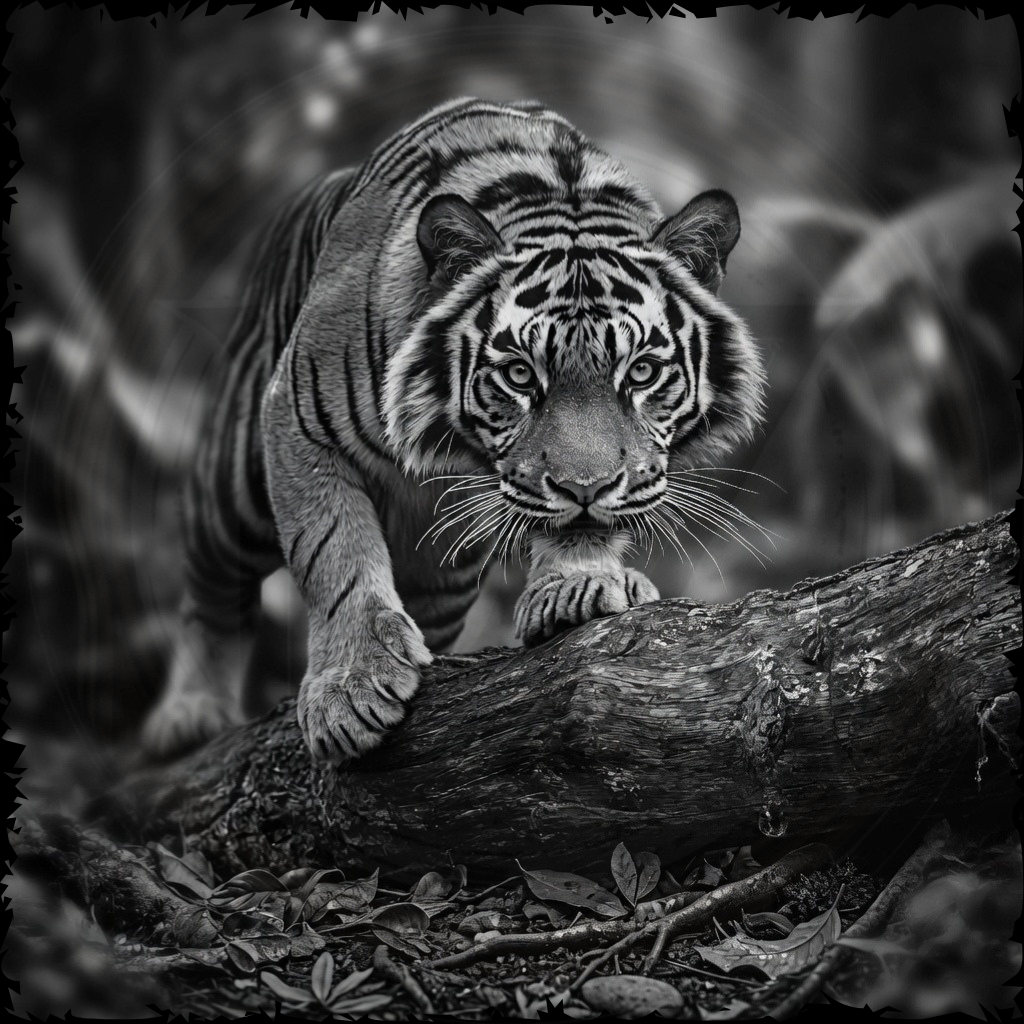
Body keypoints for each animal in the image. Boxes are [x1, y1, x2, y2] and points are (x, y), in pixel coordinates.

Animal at [142, 97, 766, 765]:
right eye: (519, 374)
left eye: (643, 371)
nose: (585, 489)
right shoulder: (297, 419)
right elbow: (335, 554)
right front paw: (350, 687)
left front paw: (580, 582)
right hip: (232, 484)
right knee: (211, 589)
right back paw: (189, 715)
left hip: (443, 576)